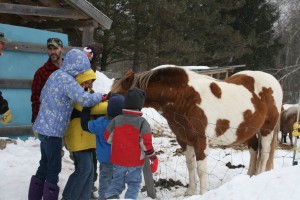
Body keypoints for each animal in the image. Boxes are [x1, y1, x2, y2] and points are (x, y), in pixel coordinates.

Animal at [109, 65, 282, 195]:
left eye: (117, 96)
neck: (184, 98)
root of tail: (274, 82)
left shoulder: (201, 141)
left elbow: (201, 170)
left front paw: (202, 193)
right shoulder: (185, 140)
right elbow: (190, 166)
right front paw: (190, 192)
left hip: (266, 130)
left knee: (264, 155)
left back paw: (259, 175)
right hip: (249, 131)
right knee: (254, 151)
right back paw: (250, 176)